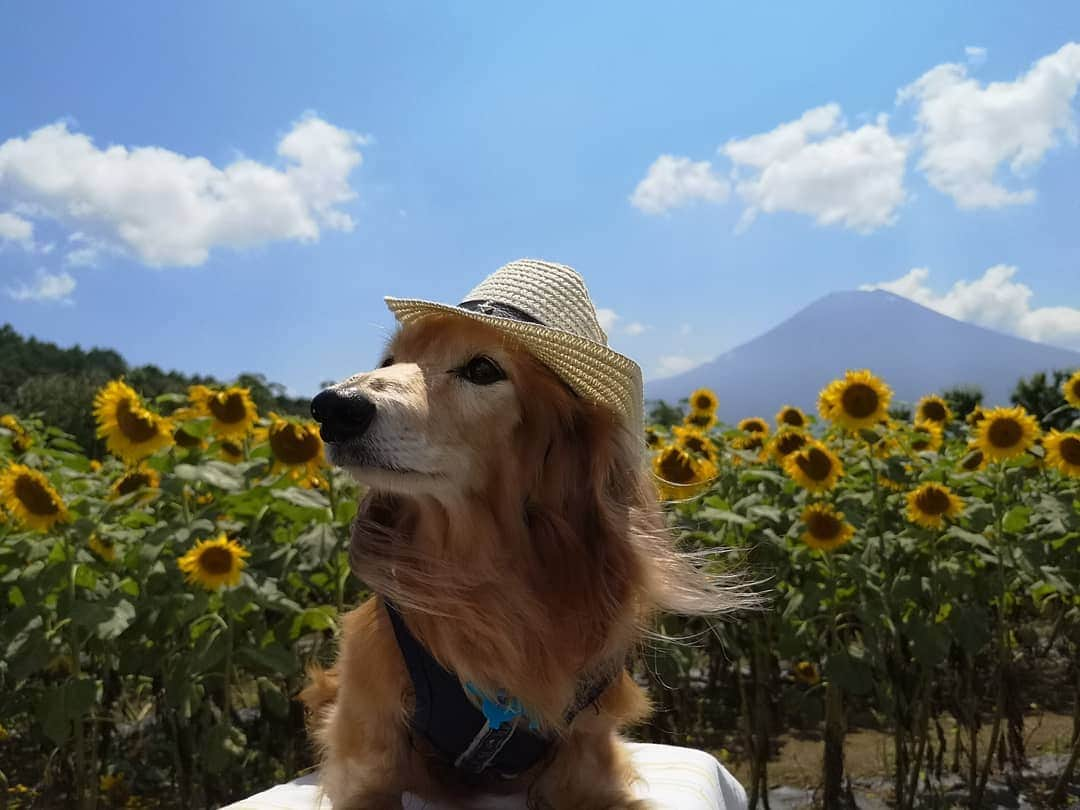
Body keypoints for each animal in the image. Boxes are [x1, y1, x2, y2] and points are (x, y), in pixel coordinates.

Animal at [300, 263, 747, 807]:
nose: (332, 408)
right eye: (389, 361)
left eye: (482, 370)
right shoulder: (368, 756)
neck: (481, 573)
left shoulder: (588, 758)